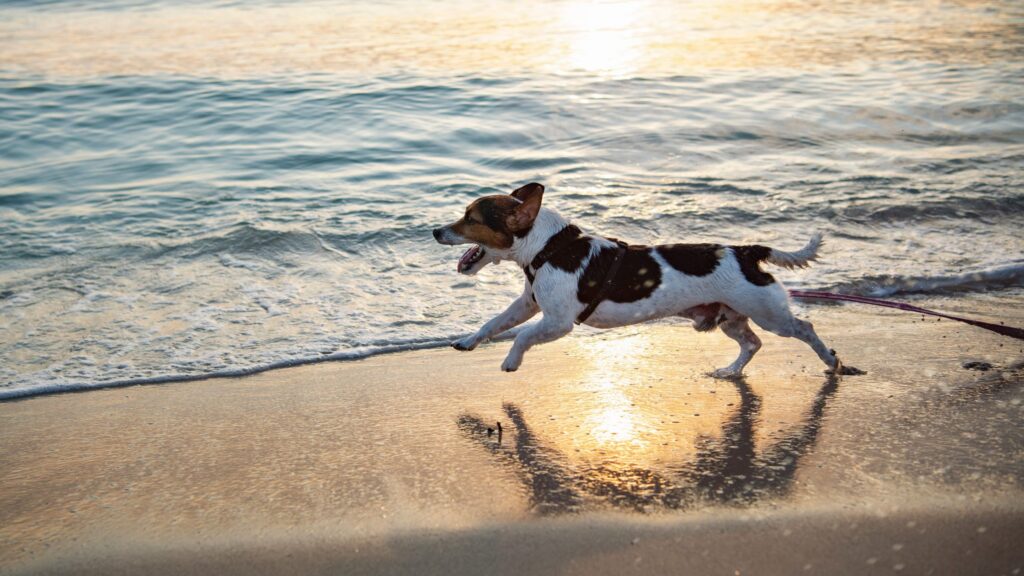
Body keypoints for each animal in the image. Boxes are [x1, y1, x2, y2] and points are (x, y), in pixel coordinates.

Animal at [432, 181, 847, 375]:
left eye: (471, 218)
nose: (435, 231)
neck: (547, 248)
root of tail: (746, 251)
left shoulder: (557, 321)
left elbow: (522, 336)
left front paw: (511, 361)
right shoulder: (527, 303)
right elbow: (495, 322)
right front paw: (468, 341)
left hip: (768, 313)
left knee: (804, 328)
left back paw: (831, 360)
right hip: (730, 317)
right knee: (752, 344)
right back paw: (730, 371)